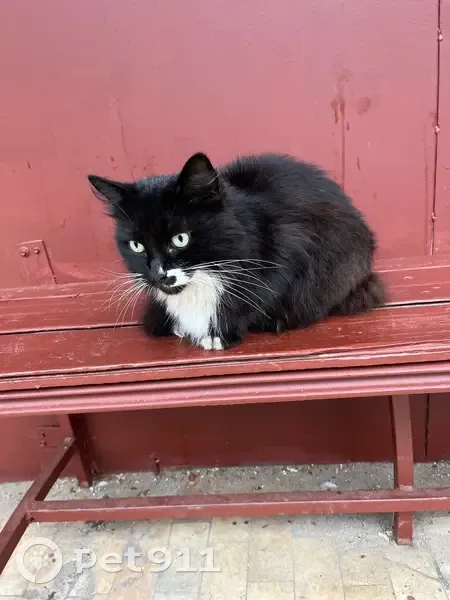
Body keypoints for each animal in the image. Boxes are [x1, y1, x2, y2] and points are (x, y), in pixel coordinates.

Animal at [88, 152, 386, 350]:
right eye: (136, 245)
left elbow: (257, 293)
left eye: (181, 239)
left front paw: (218, 333)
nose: (158, 274)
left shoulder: (288, 245)